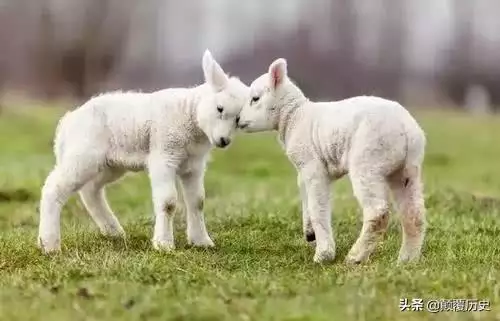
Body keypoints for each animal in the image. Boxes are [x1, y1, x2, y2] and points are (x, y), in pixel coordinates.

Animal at [36, 49, 248, 252]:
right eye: (219, 108)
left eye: (238, 119)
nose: (223, 141)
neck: (189, 113)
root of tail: (66, 123)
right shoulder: (164, 155)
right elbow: (168, 202)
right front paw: (164, 244)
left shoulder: (194, 165)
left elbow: (198, 201)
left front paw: (201, 242)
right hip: (83, 154)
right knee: (54, 188)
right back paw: (49, 244)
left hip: (110, 164)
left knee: (90, 190)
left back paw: (113, 231)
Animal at [237, 57, 426, 262]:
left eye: (255, 98)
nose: (238, 120)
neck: (294, 117)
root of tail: (406, 127)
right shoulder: (303, 170)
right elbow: (305, 197)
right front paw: (310, 232)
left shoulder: (313, 166)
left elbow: (318, 207)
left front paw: (324, 254)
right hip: (406, 169)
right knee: (414, 214)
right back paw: (406, 260)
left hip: (368, 161)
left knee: (378, 213)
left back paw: (355, 257)